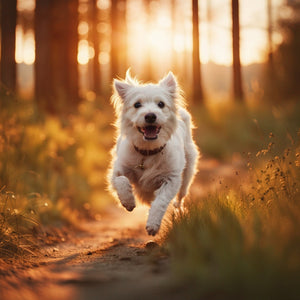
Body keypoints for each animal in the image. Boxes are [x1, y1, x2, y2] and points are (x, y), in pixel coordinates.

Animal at [108, 71, 199, 237]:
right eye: (137, 104)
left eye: (161, 104)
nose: (150, 115)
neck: (147, 153)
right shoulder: (117, 170)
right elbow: (121, 180)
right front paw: (128, 201)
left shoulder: (171, 179)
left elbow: (160, 201)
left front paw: (153, 224)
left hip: (187, 174)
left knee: (180, 197)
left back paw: (179, 211)